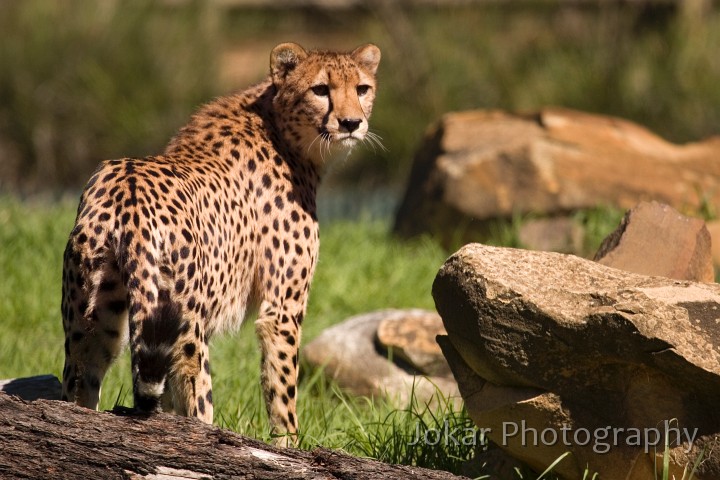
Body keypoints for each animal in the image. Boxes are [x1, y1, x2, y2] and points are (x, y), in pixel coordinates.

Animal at [60, 43, 382, 444]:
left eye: (362, 88)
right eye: (321, 89)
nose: (351, 123)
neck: (278, 126)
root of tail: (127, 189)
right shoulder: (282, 310)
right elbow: (283, 393)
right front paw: (289, 446)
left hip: (91, 319)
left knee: (78, 383)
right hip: (186, 331)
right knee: (195, 402)